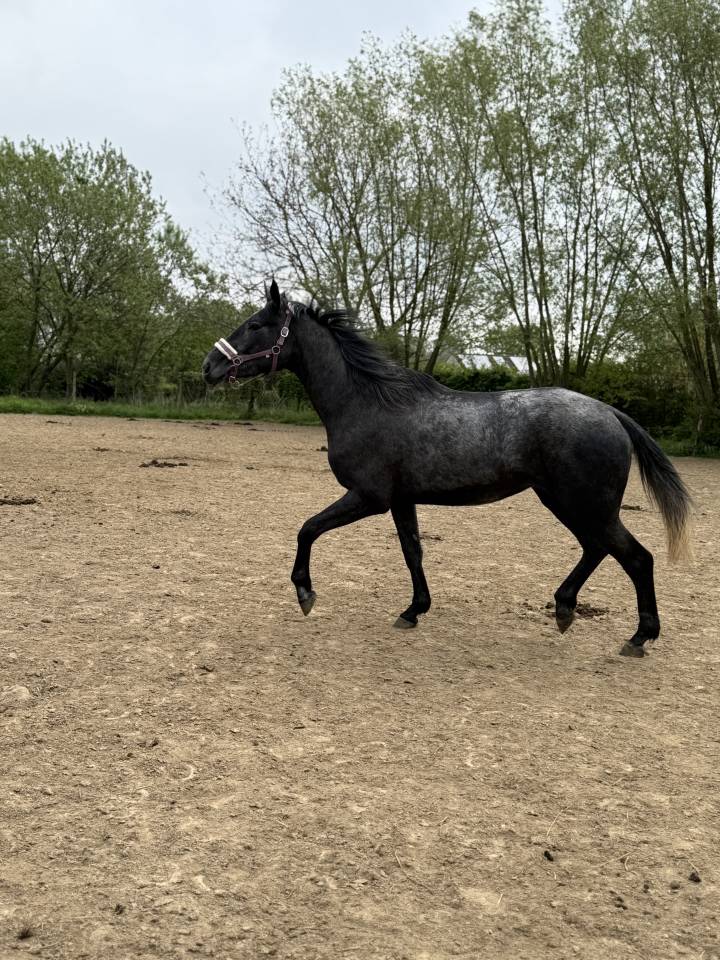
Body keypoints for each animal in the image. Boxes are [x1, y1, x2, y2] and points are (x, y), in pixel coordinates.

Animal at [202, 280, 691, 657]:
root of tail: (610, 413)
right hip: (567, 503)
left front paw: (305, 593)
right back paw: (565, 609)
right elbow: (412, 551)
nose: (210, 366)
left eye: (255, 325)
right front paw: (413, 610)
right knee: (597, 550)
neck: (366, 402)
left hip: (584, 505)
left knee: (635, 557)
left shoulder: (369, 497)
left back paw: (638, 638)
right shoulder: (401, 501)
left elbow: (307, 529)